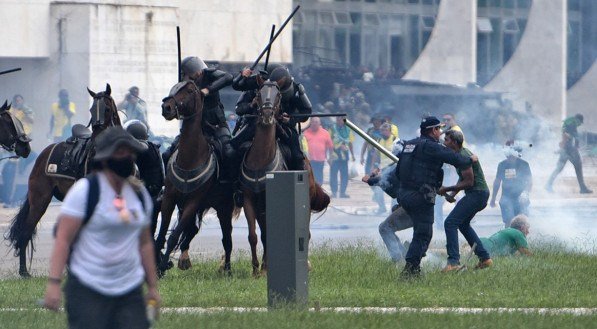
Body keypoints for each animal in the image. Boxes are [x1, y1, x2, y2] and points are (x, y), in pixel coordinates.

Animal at [5, 83, 120, 276]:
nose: (96, 142)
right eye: (91, 109)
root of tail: (43, 154)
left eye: (107, 108)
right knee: (26, 231)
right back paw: (24, 271)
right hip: (40, 200)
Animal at [156, 79, 240, 274]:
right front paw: (158, 264)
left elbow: (174, 235)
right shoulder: (170, 199)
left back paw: (227, 268)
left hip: (223, 206)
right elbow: (162, 233)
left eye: (190, 90)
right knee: (192, 231)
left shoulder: (194, 202)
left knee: (227, 238)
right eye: (174, 88)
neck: (190, 158)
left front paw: (162, 266)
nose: (166, 107)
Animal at [240, 80, 328, 276]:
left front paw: (265, 268)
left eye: (278, 95)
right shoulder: (249, 200)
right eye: (259, 93)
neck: (260, 161)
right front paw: (256, 269)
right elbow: (253, 235)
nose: (267, 115)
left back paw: (304, 264)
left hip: (305, 202)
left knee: (306, 233)